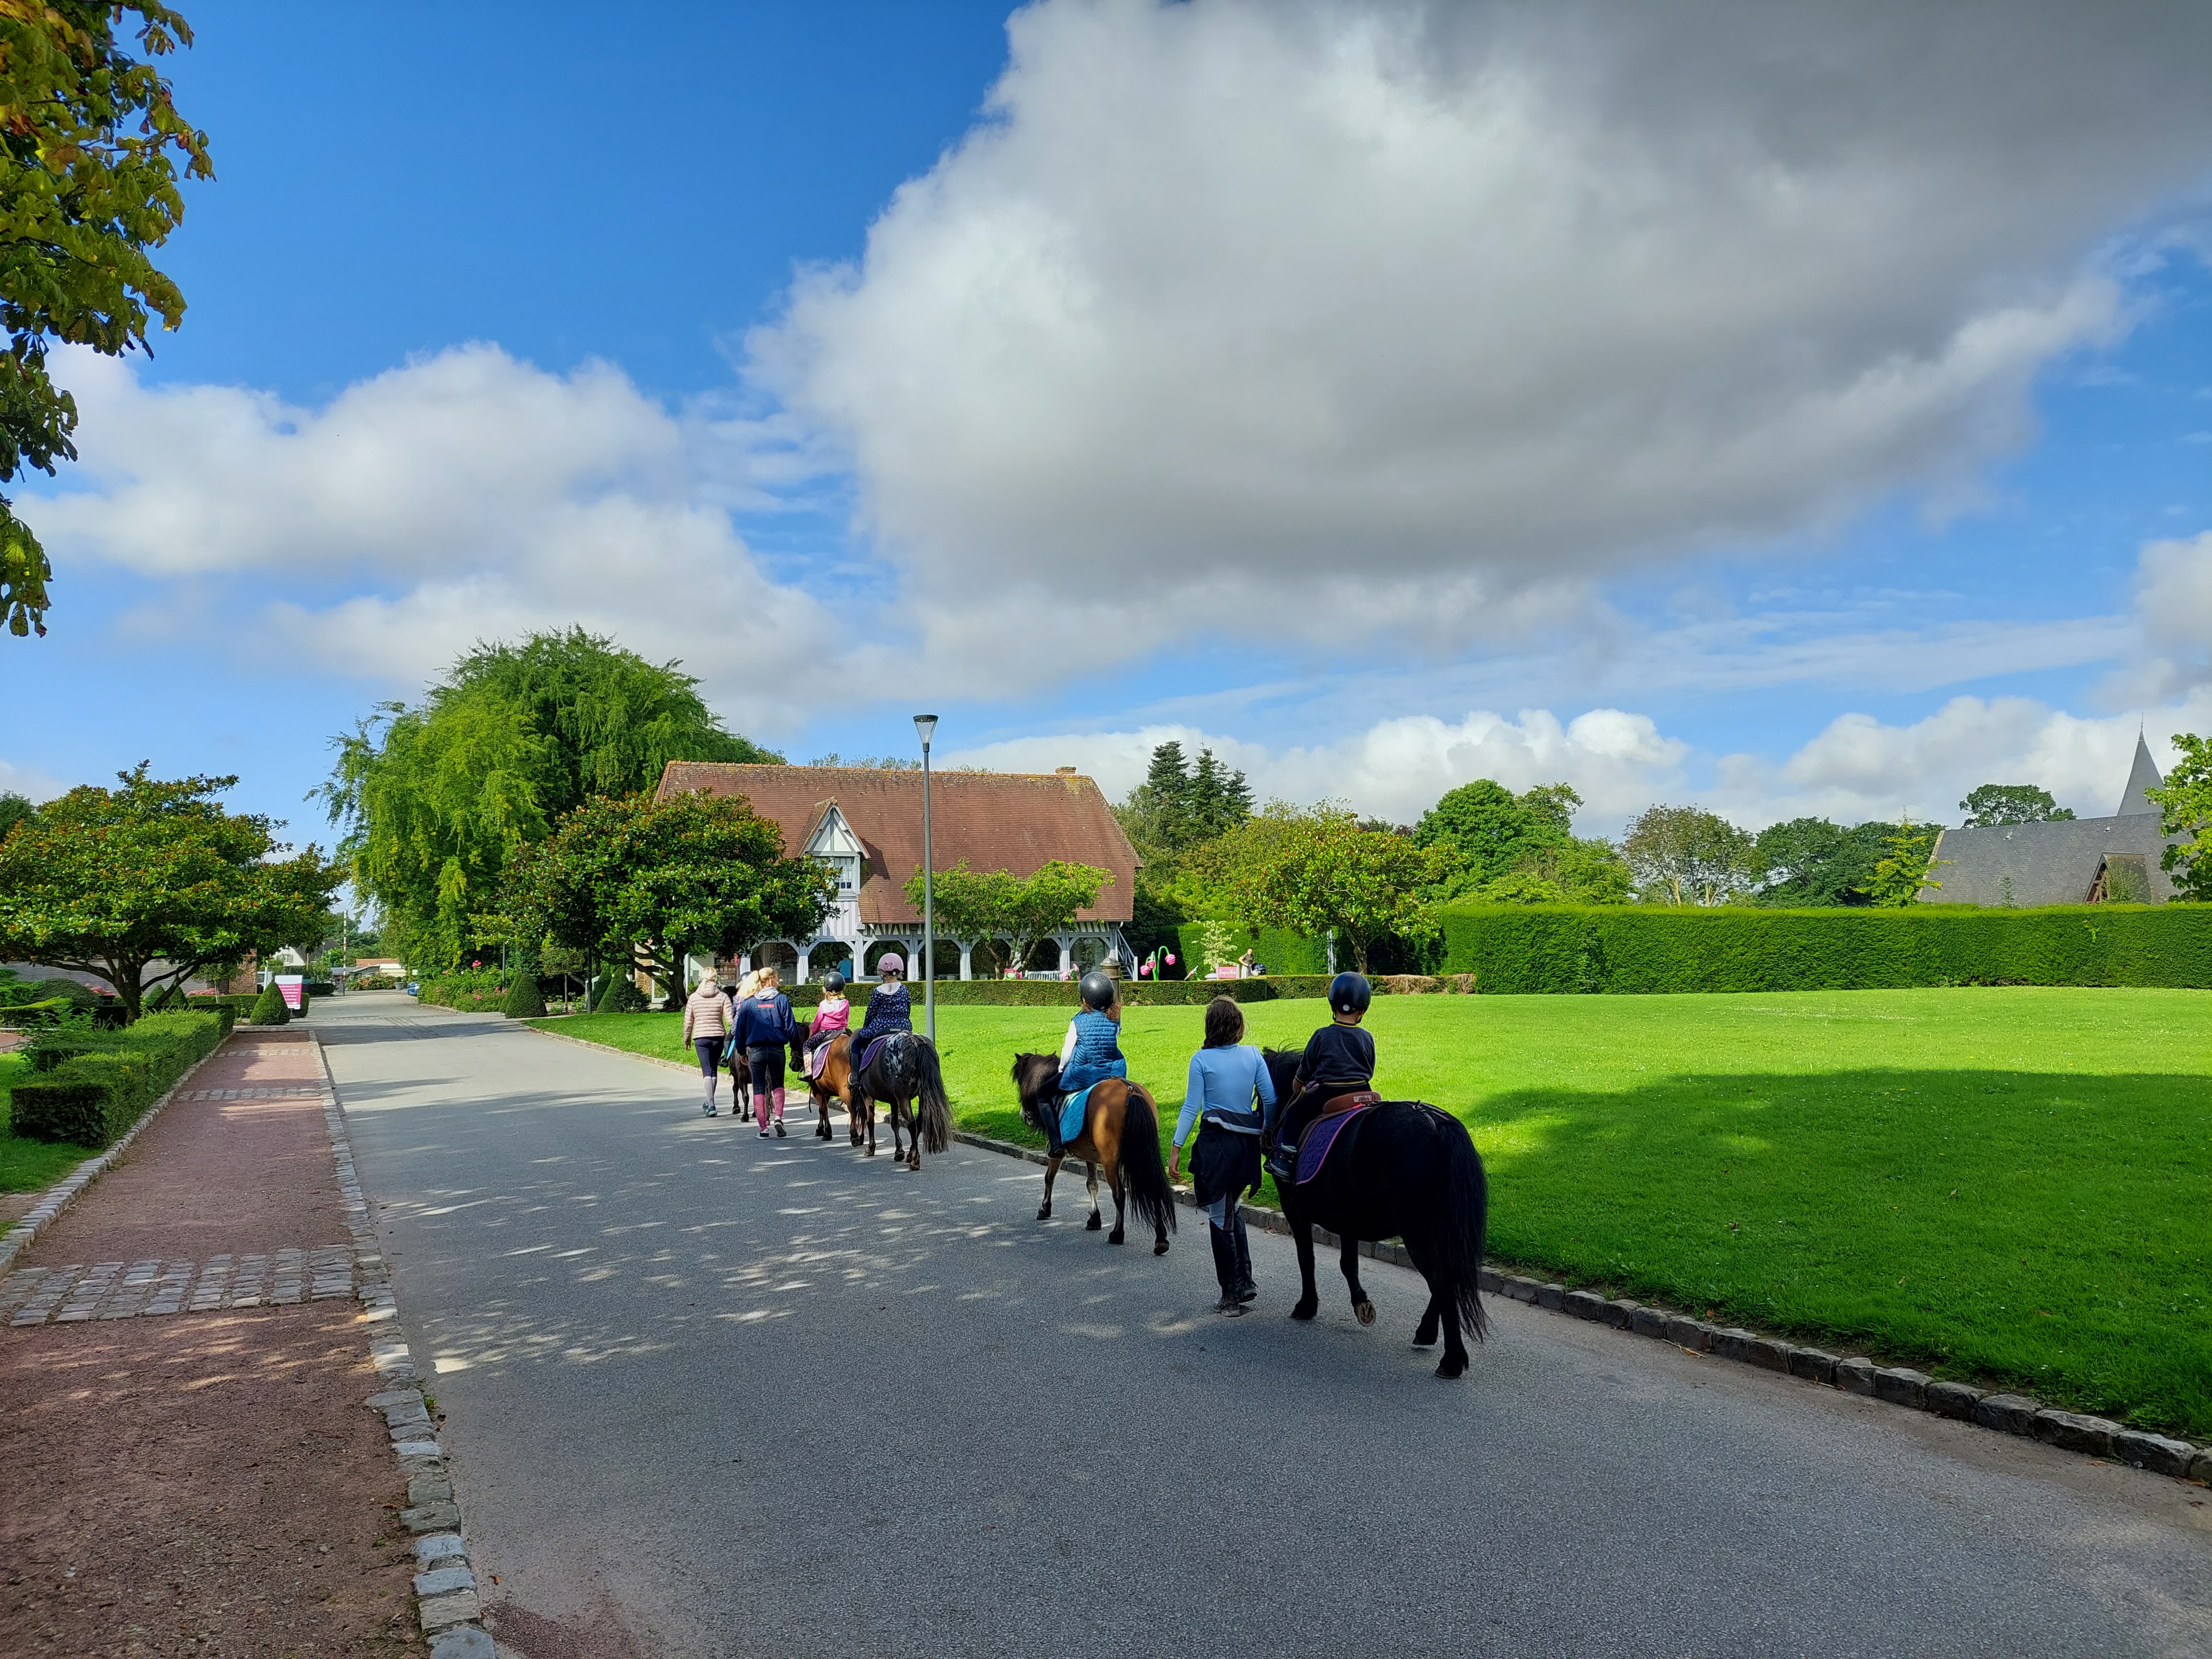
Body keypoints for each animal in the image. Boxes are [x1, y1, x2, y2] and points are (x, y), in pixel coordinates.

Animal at [1008, 1057, 1176, 1256]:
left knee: (1120, 1194)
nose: (1023, 1116)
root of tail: (1130, 1090)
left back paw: (1117, 1234)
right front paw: (1094, 1219)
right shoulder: (1089, 1155)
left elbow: (1049, 1177)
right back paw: (1161, 1240)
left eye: (1020, 1080)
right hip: (1144, 1158)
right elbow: (1092, 1184)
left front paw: (1045, 1209)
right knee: (1154, 1189)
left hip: (1111, 1161)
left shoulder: (1058, 1151)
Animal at [1265, 1053, 1486, 1380]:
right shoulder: (1347, 1219)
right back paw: (1427, 1332)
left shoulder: (1296, 1212)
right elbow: (1348, 1264)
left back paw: (1452, 1359)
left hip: (1417, 1231)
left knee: (1441, 1279)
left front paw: (1307, 1306)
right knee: (1447, 1274)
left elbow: (1307, 1258)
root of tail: (1435, 1122)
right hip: (1437, 1228)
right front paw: (1361, 1304)